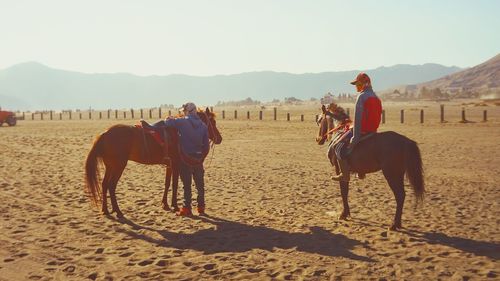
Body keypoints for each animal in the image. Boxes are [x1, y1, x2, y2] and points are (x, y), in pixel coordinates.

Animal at [85, 107, 222, 217]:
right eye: (213, 122)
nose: (219, 138)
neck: (178, 134)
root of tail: (105, 134)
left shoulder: (169, 166)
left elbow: (167, 184)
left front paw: (165, 204)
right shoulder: (176, 165)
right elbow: (175, 184)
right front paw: (175, 205)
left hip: (110, 166)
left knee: (104, 184)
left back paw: (105, 210)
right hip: (119, 166)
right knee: (111, 186)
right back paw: (118, 211)